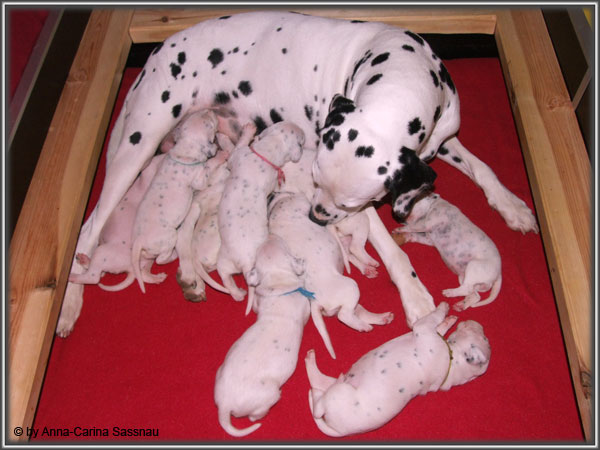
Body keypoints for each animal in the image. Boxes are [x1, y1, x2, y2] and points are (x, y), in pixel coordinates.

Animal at [214, 234, 310, 437]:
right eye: (284, 245)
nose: (271, 235)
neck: (278, 282)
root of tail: (225, 406)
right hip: (269, 395)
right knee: (254, 416)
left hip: (219, 373)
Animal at [216, 121, 304, 301]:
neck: (266, 151)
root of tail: (244, 262)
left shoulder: (237, 156)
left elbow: (235, 146)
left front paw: (246, 131)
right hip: (224, 260)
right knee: (226, 277)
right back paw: (238, 294)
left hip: (225, 259)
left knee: (226, 278)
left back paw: (238, 294)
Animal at [305, 302, 491, 437]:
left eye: (483, 337)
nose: (478, 324)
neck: (453, 363)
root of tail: (337, 431)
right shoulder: (429, 332)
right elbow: (439, 327)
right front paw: (449, 319)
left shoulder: (423, 329)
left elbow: (432, 318)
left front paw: (443, 308)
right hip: (332, 385)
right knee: (318, 383)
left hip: (339, 392)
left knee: (317, 404)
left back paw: (312, 364)